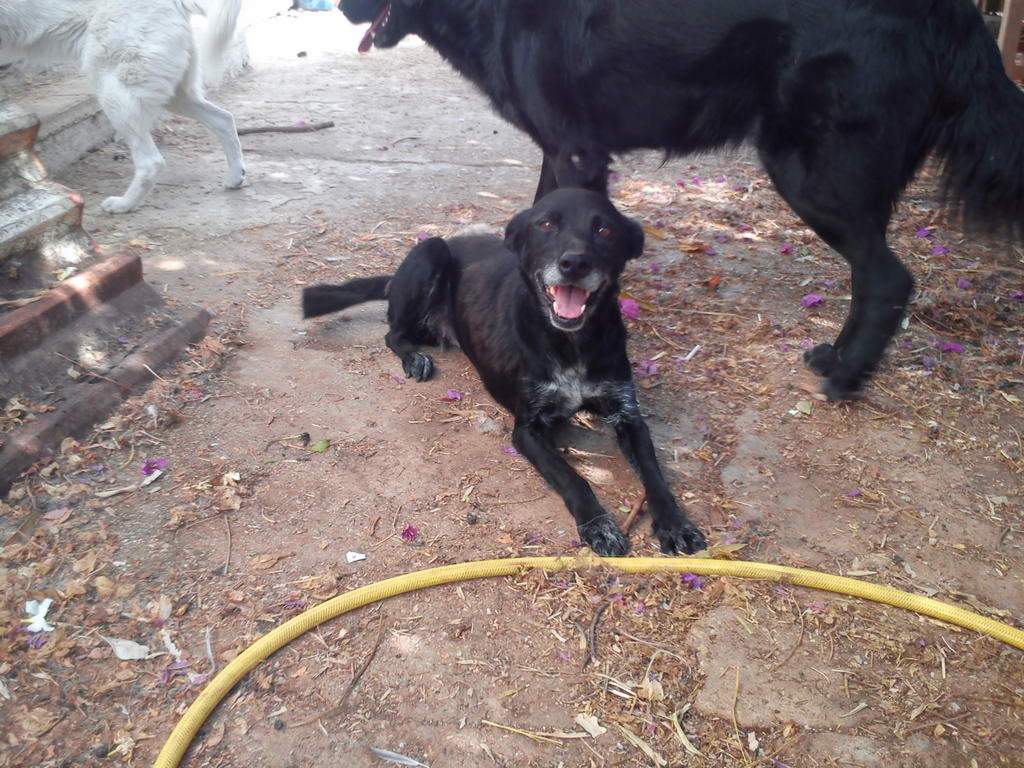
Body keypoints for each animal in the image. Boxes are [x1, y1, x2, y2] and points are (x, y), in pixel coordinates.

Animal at [0, 0, 246, 213]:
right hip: (176, 95)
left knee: (151, 162)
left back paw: (124, 204)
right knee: (224, 119)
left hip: (115, 93)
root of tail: (175, 2)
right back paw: (236, 177)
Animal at [302, 188, 707, 557]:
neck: (572, 342)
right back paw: (414, 357)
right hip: (430, 250)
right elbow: (574, 479)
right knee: (393, 333)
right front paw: (598, 525)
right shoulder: (528, 429)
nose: (574, 263)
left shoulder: (628, 415)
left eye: (605, 229)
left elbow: (654, 476)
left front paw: (675, 523)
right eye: (546, 224)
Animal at [339, 0, 1024, 402]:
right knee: (870, 275)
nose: (340, 5)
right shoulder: (568, 150)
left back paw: (844, 378)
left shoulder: (574, 149)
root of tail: (953, 12)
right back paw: (837, 356)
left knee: (886, 278)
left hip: (813, 174)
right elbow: (540, 217)